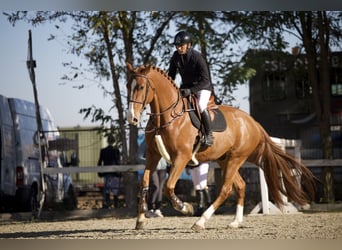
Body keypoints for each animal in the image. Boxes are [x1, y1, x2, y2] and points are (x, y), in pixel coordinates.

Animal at [126, 62, 316, 230]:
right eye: (128, 86)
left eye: (141, 87)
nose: (131, 118)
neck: (167, 118)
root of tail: (253, 122)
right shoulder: (153, 154)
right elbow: (144, 183)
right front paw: (141, 220)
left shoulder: (182, 156)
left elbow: (168, 186)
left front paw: (185, 208)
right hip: (225, 159)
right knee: (240, 186)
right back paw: (235, 222)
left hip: (236, 158)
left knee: (225, 189)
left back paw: (200, 222)